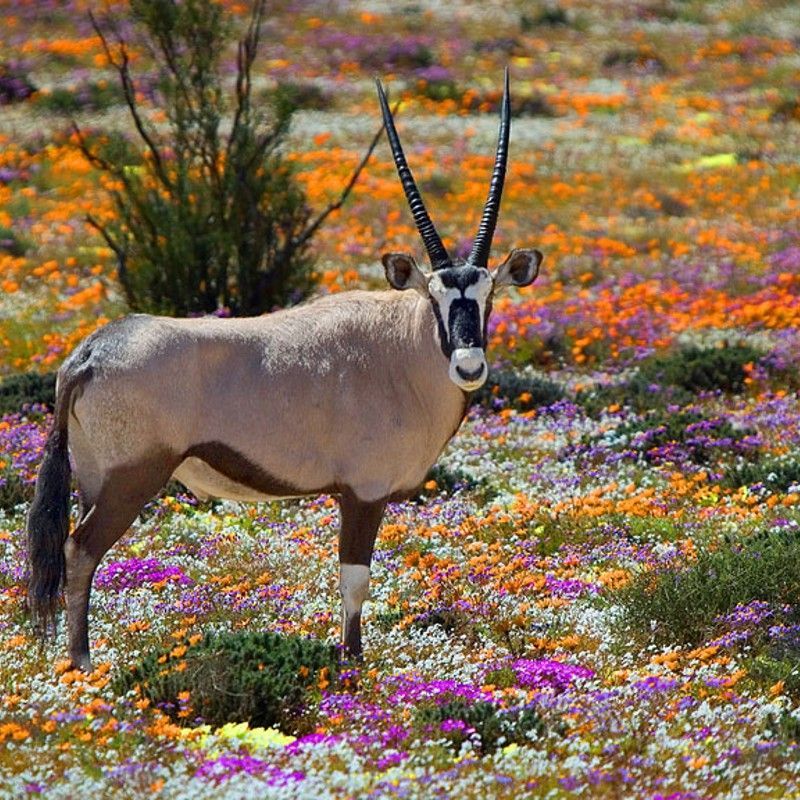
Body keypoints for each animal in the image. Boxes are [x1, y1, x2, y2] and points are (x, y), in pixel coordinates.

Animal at [27, 71, 542, 671]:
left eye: (487, 297)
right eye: (434, 296)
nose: (468, 363)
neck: (402, 348)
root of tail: (89, 353)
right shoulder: (363, 493)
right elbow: (354, 580)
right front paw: (352, 665)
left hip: (94, 480)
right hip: (131, 480)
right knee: (79, 549)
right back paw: (82, 664)